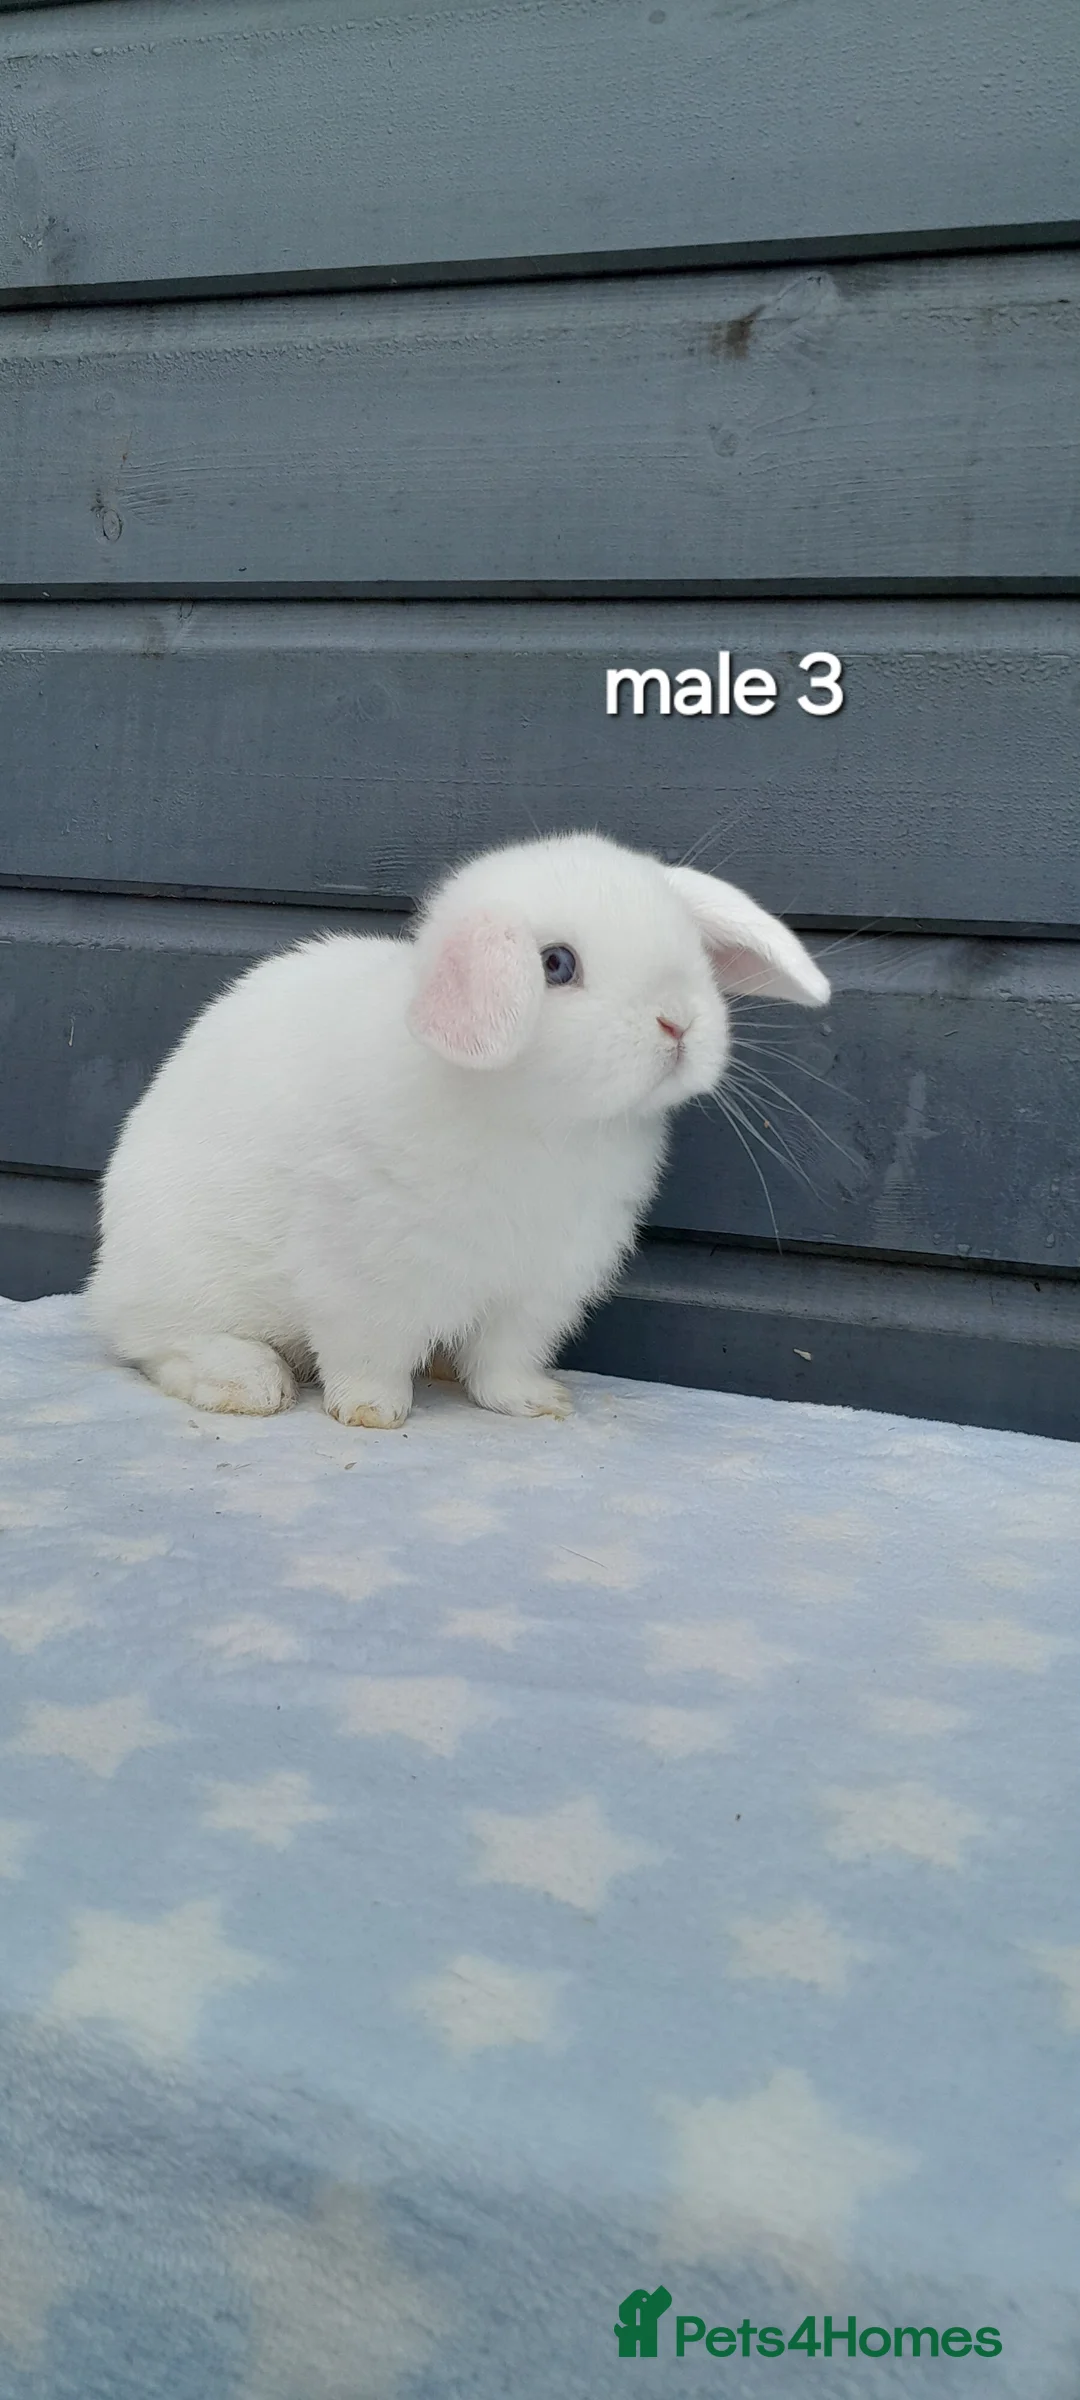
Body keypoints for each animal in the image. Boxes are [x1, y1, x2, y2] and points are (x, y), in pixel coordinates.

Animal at [86, 831, 829, 1426]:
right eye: (556, 964)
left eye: (693, 950)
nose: (679, 1022)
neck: (544, 1122)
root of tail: (109, 1273)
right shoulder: (360, 1276)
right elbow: (366, 1355)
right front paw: (373, 1413)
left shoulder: (538, 1289)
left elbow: (504, 1360)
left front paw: (533, 1403)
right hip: (184, 1279)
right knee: (151, 1343)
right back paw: (249, 1380)